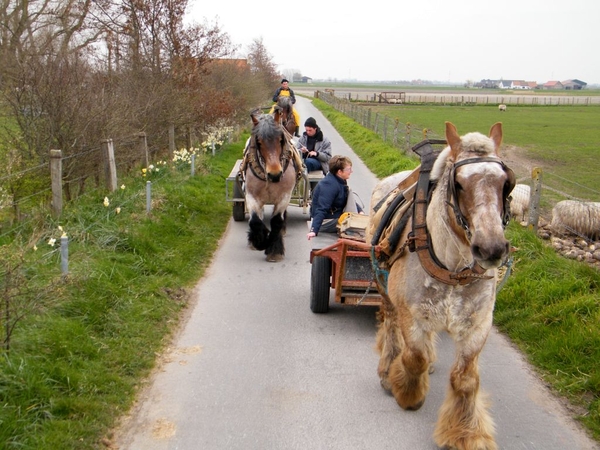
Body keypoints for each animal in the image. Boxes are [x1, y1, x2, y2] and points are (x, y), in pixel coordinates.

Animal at [243, 109, 298, 262]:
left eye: (280, 140)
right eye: (259, 142)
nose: (275, 174)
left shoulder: (284, 197)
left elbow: (276, 221)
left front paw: (274, 251)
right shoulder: (251, 195)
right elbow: (255, 221)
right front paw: (260, 241)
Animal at [368, 123, 512, 450]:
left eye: (505, 183)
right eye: (458, 183)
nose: (491, 248)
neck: (453, 267)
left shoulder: (478, 324)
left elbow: (465, 378)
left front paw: (467, 433)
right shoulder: (411, 314)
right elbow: (414, 357)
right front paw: (407, 391)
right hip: (385, 288)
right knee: (391, 324)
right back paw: (388, 367)